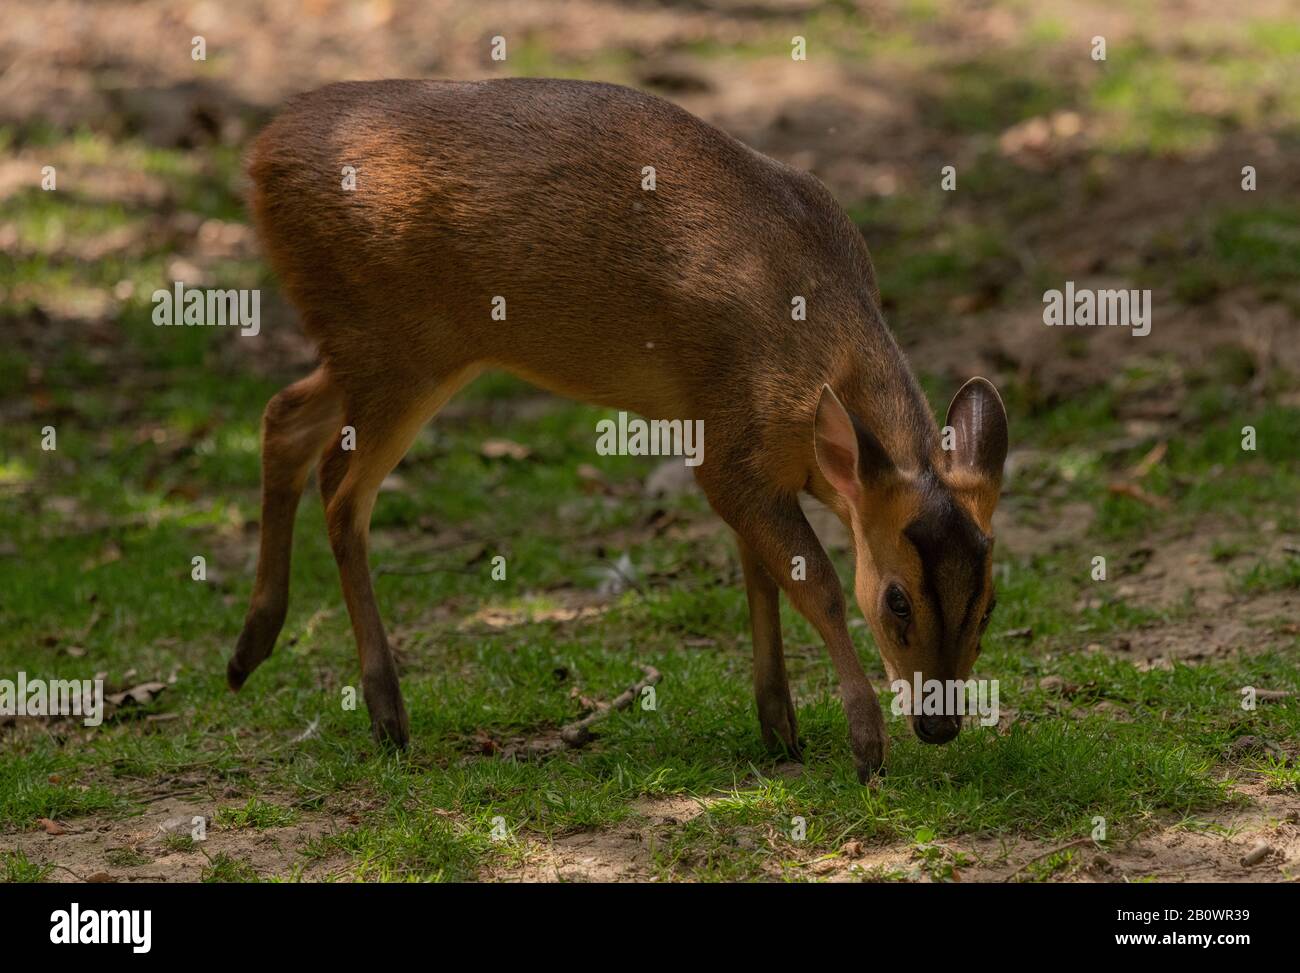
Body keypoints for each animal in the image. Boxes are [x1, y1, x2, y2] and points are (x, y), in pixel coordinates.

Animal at [231, 81, 1003, 780]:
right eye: (897, 599)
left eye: (990, 603)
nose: (939, 724)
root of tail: (260, 154)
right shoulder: (728, 451)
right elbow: (818, 583)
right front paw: (865, 744)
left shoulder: (736, 455)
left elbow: (760, 574)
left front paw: (779, 725)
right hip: (396, 345)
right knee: (341, 490)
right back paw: (386, 713)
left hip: (380, 350)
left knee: (283, 417)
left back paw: (250, 649)